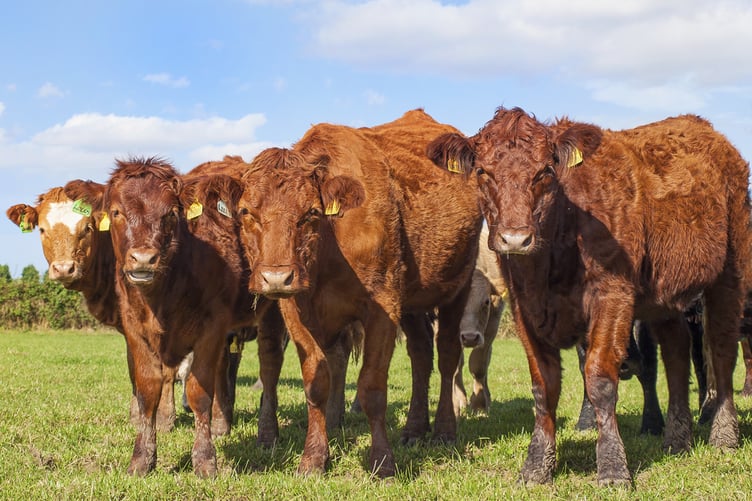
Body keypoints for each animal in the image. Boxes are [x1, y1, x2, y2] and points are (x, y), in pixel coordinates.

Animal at [63, 158, 286, 477]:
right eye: (116, 212)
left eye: (170, 213)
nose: (143, 259)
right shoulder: (135, 329)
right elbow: (147, 391)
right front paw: (142, 460)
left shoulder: (210, 329)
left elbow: (198, 392)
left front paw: (205, 460)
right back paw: (223, 425)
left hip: (273, 305)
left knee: (269, 367)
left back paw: (267, 434)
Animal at [233, 109, 483, 477]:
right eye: (246, 212)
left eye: (311, 213)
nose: (276, 277)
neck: (328, 251)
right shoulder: (297, 312)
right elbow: (317, 383)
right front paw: (313, 459)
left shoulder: (383, 306)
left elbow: (372, 387)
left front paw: (383, 462)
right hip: (413, 300)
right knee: (421, 353)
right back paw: (414, 429)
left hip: (457, 287)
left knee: (448, 354)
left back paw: (443, 432)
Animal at [427, 107, 752, 486]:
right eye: (482, 171)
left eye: (545, 171)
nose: (515, 238)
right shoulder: (524, 308)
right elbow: (544, 385)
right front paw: (536, 466)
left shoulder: (612, 296)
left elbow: (599, 377)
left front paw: (612, 467)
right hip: (665, 298)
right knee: (676, 353)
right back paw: (676, 439)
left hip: (729, 274)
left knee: (721, 350)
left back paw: (724, 435)